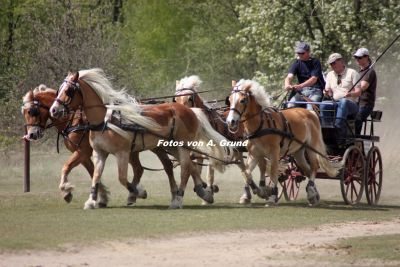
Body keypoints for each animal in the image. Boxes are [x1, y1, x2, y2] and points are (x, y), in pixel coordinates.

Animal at [21, 85, 175, 206]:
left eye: (32, 111)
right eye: (23, 112)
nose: (31, 135)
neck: (74, 119)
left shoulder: (82, 151)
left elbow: (66, 167)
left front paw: (66, 191)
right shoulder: (85, 155)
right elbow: (93, 173)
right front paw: (102, 197)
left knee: (157, 166)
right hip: (139, 149)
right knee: (142, 168)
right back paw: (134, 194)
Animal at [48, 68, 230, 209]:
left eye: (69, 91)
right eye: (59, 90)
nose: (54, 110)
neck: (105, 121)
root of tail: (190, 111)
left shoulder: (122, 153)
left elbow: (122, 178)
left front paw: (138, 191)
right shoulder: (99, 153)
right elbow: (96, 176)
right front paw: (91, 201)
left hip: (183, 146)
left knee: (185, 169)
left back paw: (178, 199)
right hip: (170, 146)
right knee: (188, 166)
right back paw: (203, 192)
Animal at [174, 75, 262, 205]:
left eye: (190, 98)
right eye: (175, 99)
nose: (181, 112)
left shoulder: (212, 152)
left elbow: (209, 174)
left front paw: (209, 192)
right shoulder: (197, 153)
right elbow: (195, 169)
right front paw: (205, 190)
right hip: (238, 150)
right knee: (243, 168)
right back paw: (248, 193)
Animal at [227, 78, 342, 206]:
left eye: (242, 100)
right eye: (229, 99)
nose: (230, 121)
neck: (261, 125)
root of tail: (311, 113)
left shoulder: (274, 152)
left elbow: (273, 172)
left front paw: (272, 196)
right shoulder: (254, 154)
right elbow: (246, 172)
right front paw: (249, 195)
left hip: (311, 146)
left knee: (314, 167)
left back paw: (312, 193)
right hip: (298, 152)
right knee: (307, 170)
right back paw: (314, 194)